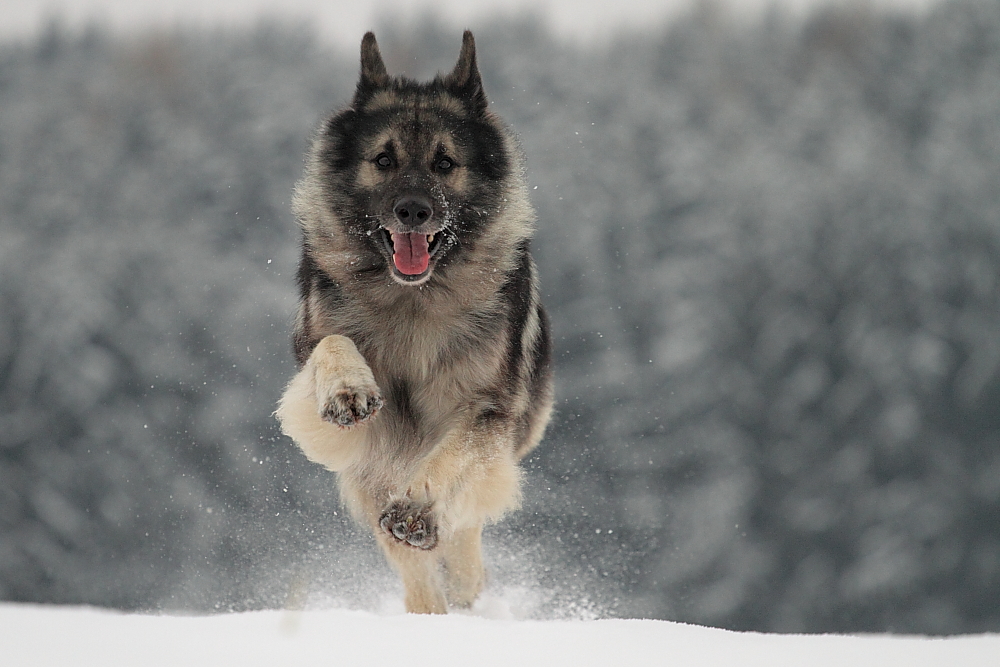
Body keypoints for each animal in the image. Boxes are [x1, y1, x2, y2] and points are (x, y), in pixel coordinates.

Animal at [276, 31, 556, 616]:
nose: (413, 211)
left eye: (444, 162)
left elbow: (450, 456)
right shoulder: (348, 427)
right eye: (383, 159)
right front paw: (348, 390)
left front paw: (417, 510)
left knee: (463, 535)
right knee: (416, 572)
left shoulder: (488, 410)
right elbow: (333, 346)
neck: (413, 300)